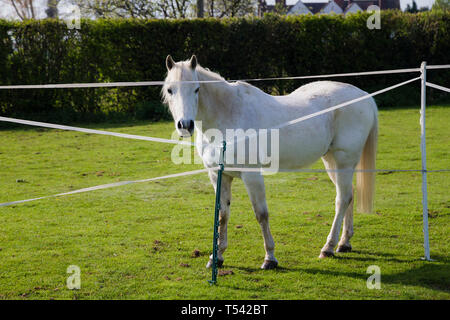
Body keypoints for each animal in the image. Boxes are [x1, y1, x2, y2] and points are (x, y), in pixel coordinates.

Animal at [162, 55, 376, 270]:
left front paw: (270, 258)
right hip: (332, 162)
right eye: (170, 89)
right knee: (348, 196)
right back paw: (344, 243)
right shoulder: (219, 175)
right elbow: (222, 215)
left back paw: (328, 248)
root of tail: (365, 96)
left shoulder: (252, 176)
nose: (185, 125)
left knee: (342, 199)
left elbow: (261, 214)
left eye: (196, 89)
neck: (228, 114)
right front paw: (217, 257)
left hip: (343, 162)